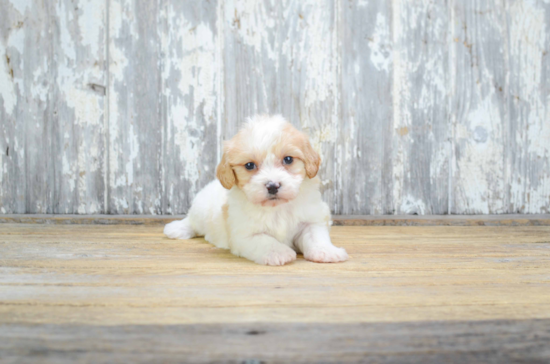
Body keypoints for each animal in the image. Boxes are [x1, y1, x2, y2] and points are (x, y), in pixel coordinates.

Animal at [164, 115, 352, 266]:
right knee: (193, 222)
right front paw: (278, 252)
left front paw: (327, 251)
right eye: (249, 165)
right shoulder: (245, 234)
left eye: (288, 159)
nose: (273, 185)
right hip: (201, 210)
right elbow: (265, 240)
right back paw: (177, 228)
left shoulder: (311, 220)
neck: (277, 208)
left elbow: (316, 236)